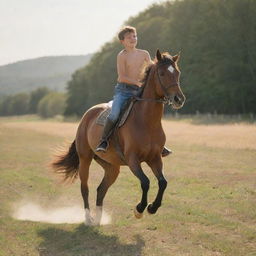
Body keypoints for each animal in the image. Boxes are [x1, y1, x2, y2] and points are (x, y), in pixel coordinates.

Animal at [51, 49, 185, 224]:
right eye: (162, 73)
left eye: (177, 73)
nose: (179, 99)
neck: (146, 121)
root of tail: (87, 115)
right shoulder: (133, 159)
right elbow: (145, 182)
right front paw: (139, 209)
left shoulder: (155, 158)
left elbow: (163, 182)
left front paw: (152, 208)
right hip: (85, 159)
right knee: (84, 187)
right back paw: (88, 218)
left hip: (111, 167)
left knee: (101, 189)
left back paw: (98, 219)